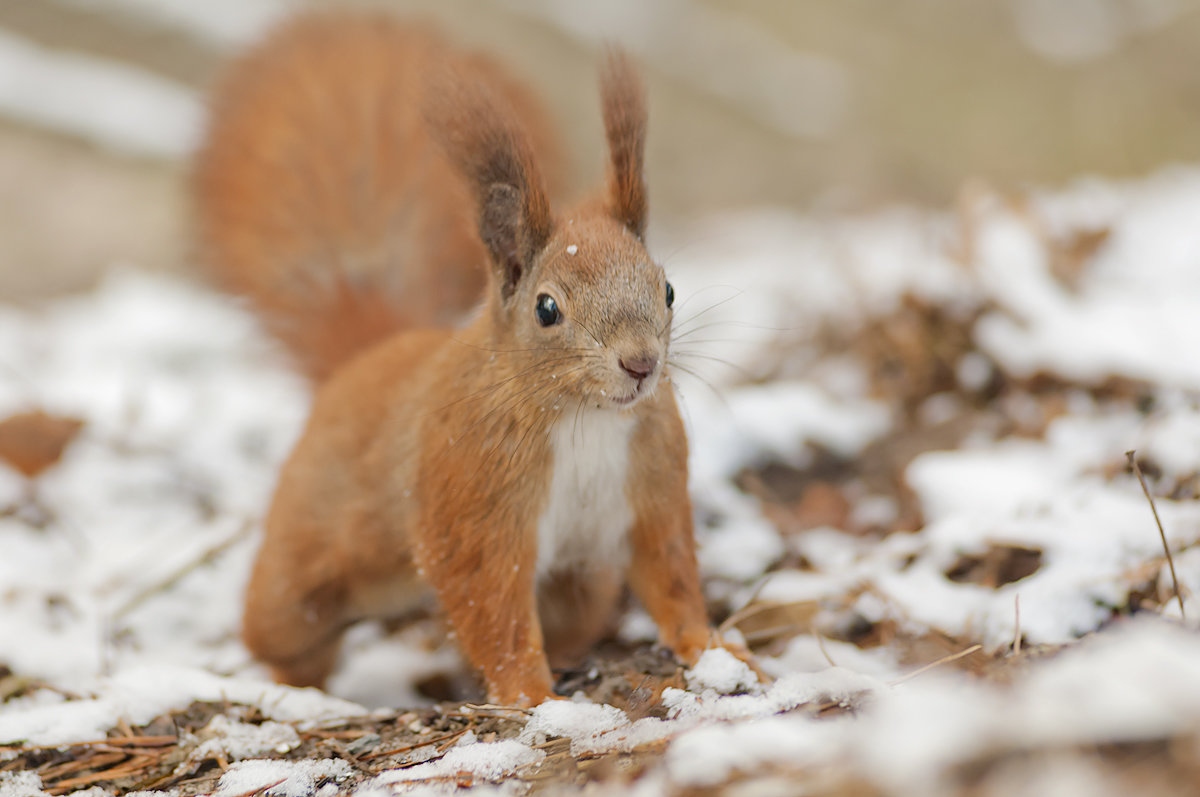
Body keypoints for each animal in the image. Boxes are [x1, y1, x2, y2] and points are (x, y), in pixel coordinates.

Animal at [192, 12, 744, 705]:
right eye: (546, 308)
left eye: (667, 288)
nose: (641, 364)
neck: (584, 416)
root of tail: (369, 356)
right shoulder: (472, 499)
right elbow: (492, 607)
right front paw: (532, 698)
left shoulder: (653, 486)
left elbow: (671, 574)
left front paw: (713, 648)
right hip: (301, 572)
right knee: (281, 631)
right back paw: (297, 690)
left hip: (580, 581)